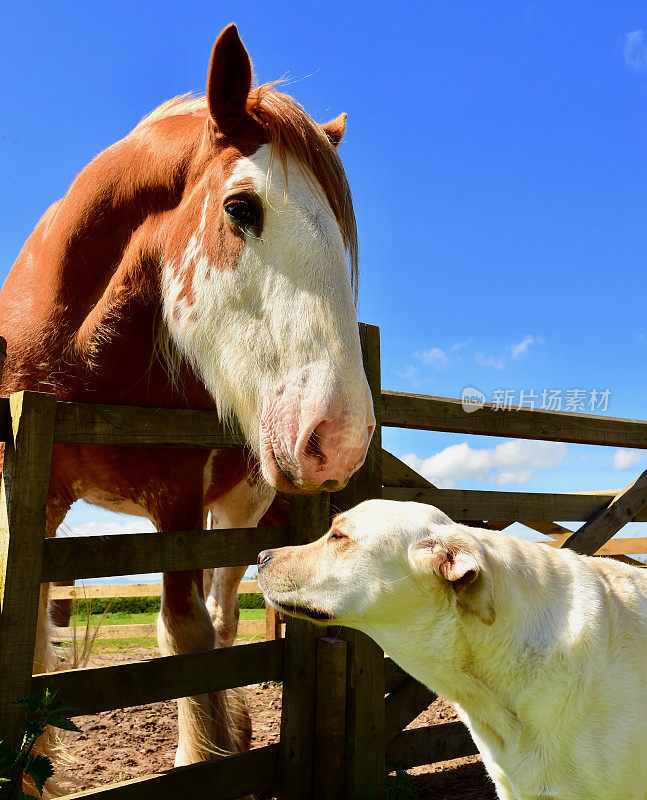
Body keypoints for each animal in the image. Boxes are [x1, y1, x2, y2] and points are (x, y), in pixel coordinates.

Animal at [0, 23, 374, 776]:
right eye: (239, 208)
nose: (341, 439)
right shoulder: (28, 490)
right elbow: (29, 632)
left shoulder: (176, 500)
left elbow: (185, 634)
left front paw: (204, 751)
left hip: (236, 510)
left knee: (221, 616)